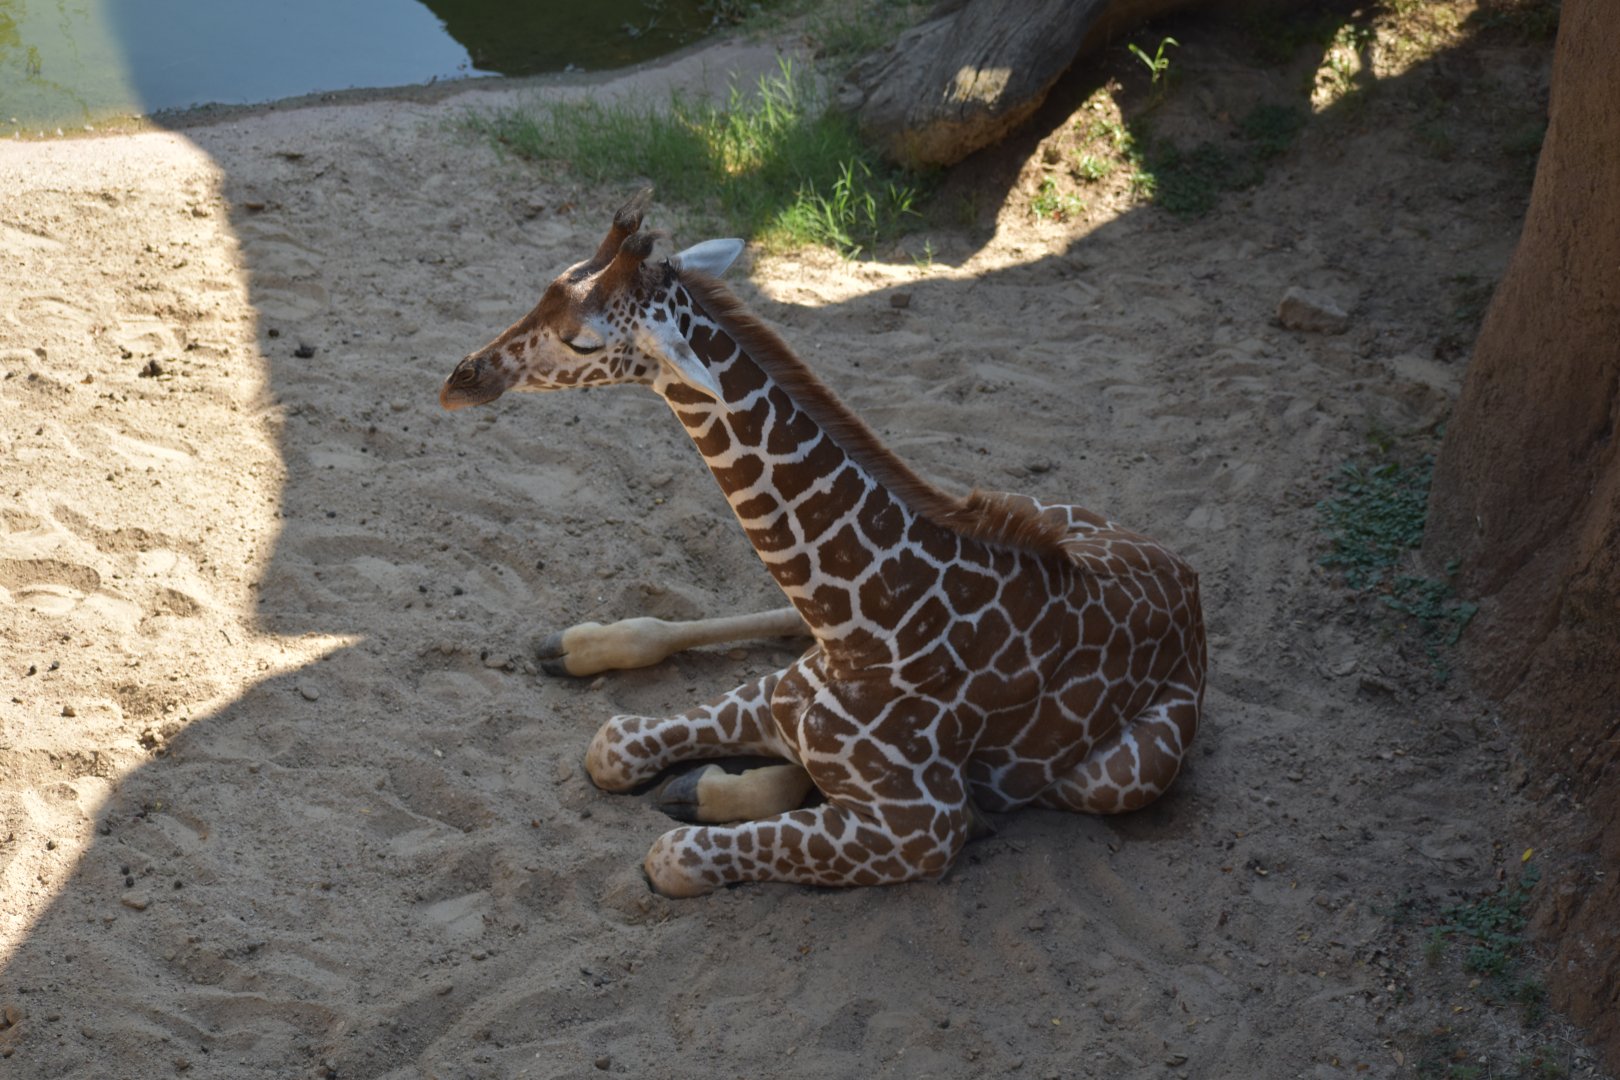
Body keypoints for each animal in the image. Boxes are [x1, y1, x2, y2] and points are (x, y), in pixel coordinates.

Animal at [440, 191, 1206, 897]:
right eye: (552, 281)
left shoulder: (922, 830)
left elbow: (672, 856)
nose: (460, 379)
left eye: (582, 342)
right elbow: (611, 746)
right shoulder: (778, 691)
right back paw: (581, 652)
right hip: (1026, 505)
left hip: (1126, 773)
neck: (862, 630)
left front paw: (701, 797)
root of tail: (1189, 579)